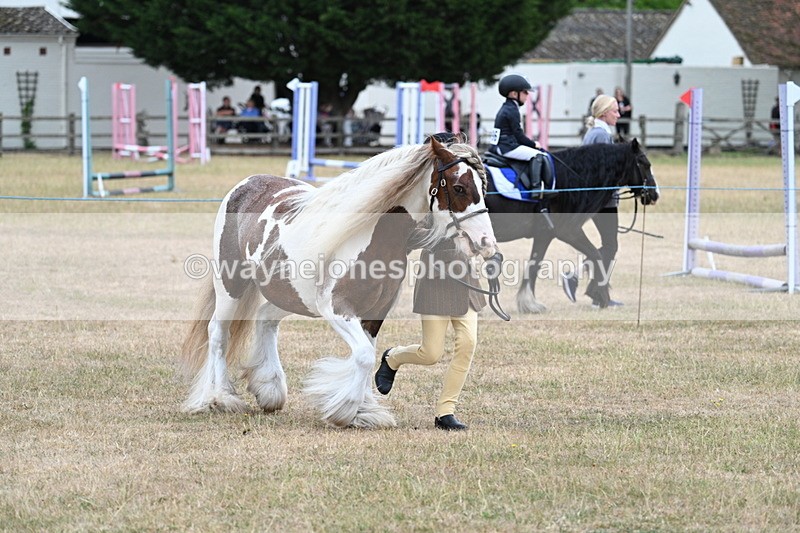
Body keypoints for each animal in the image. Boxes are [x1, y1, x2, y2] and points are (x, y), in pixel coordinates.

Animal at [180, 137, 497, 428]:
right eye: (458, 187)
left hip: (292, 296)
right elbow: (364, 356)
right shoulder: (337, 308)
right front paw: (345, 411)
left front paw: (363, 411)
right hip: (230, 284)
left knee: (265, 320)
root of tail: (246, 184)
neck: (370, 235)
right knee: (218, 333)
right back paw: (220, 397)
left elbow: (368, 353)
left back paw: (269, 390)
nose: (486, 243)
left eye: (483, 189)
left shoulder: (375, 312)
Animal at [484, 139, 659, 313]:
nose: (655, 195)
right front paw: (600, 294)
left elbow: (535, 264)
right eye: (645, 164)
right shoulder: (566, 231)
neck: (567, 180)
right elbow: (595, 254)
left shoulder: (546, 235)